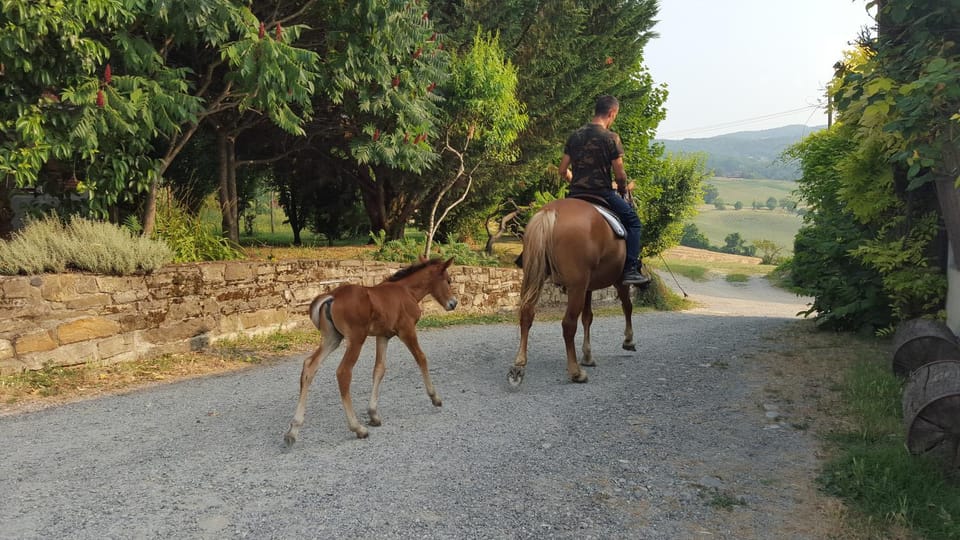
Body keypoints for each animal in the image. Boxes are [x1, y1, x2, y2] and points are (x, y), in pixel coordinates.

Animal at [284, 257, 458, 444]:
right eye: (448, 280)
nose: (453, 303)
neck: (407, 291)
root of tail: (332, 296)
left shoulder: (383, 336)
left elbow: (379, 369)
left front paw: (373, 414)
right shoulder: (407, 330)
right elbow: (421, 357)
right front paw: (435, 398)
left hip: (332, 339)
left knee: (310, 366)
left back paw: (293, 430)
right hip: (356, 338)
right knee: (343, 372)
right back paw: (357, 428)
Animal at [508, 197, 637, 386]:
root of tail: (551, 211)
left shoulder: (588, 287)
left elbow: (588, 318)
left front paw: (588, 355)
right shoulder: (619, 282)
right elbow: (627, 307)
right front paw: (628, 340)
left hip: (535, 277)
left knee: (526, 314)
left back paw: (520, 361)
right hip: (577, 287)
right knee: (568, 325)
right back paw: (576, 372)